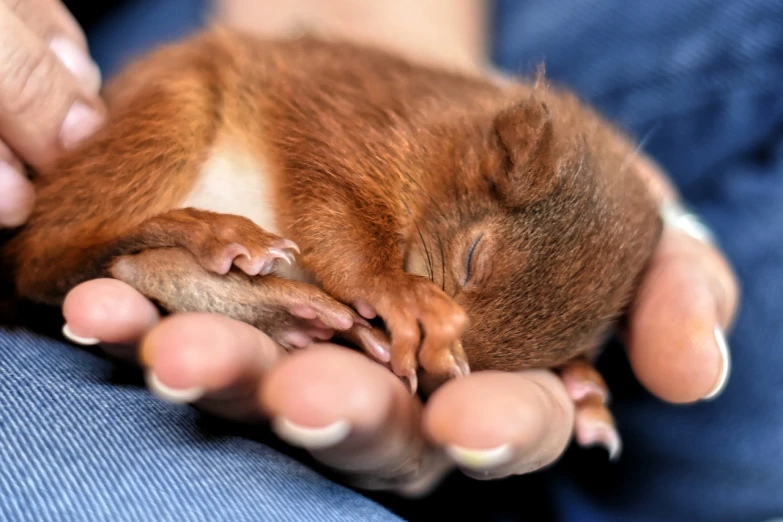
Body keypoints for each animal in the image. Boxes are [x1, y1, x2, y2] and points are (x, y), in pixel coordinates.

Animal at [1, 25, 660, 398]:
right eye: (472, 258)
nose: (436, 376)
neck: (446, 143)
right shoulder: (348, 132)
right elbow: (335, 219)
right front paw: (400, 294)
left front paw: (586, 387)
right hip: (168, 117)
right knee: (46, 261)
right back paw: (207, 231)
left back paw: (295, 311)